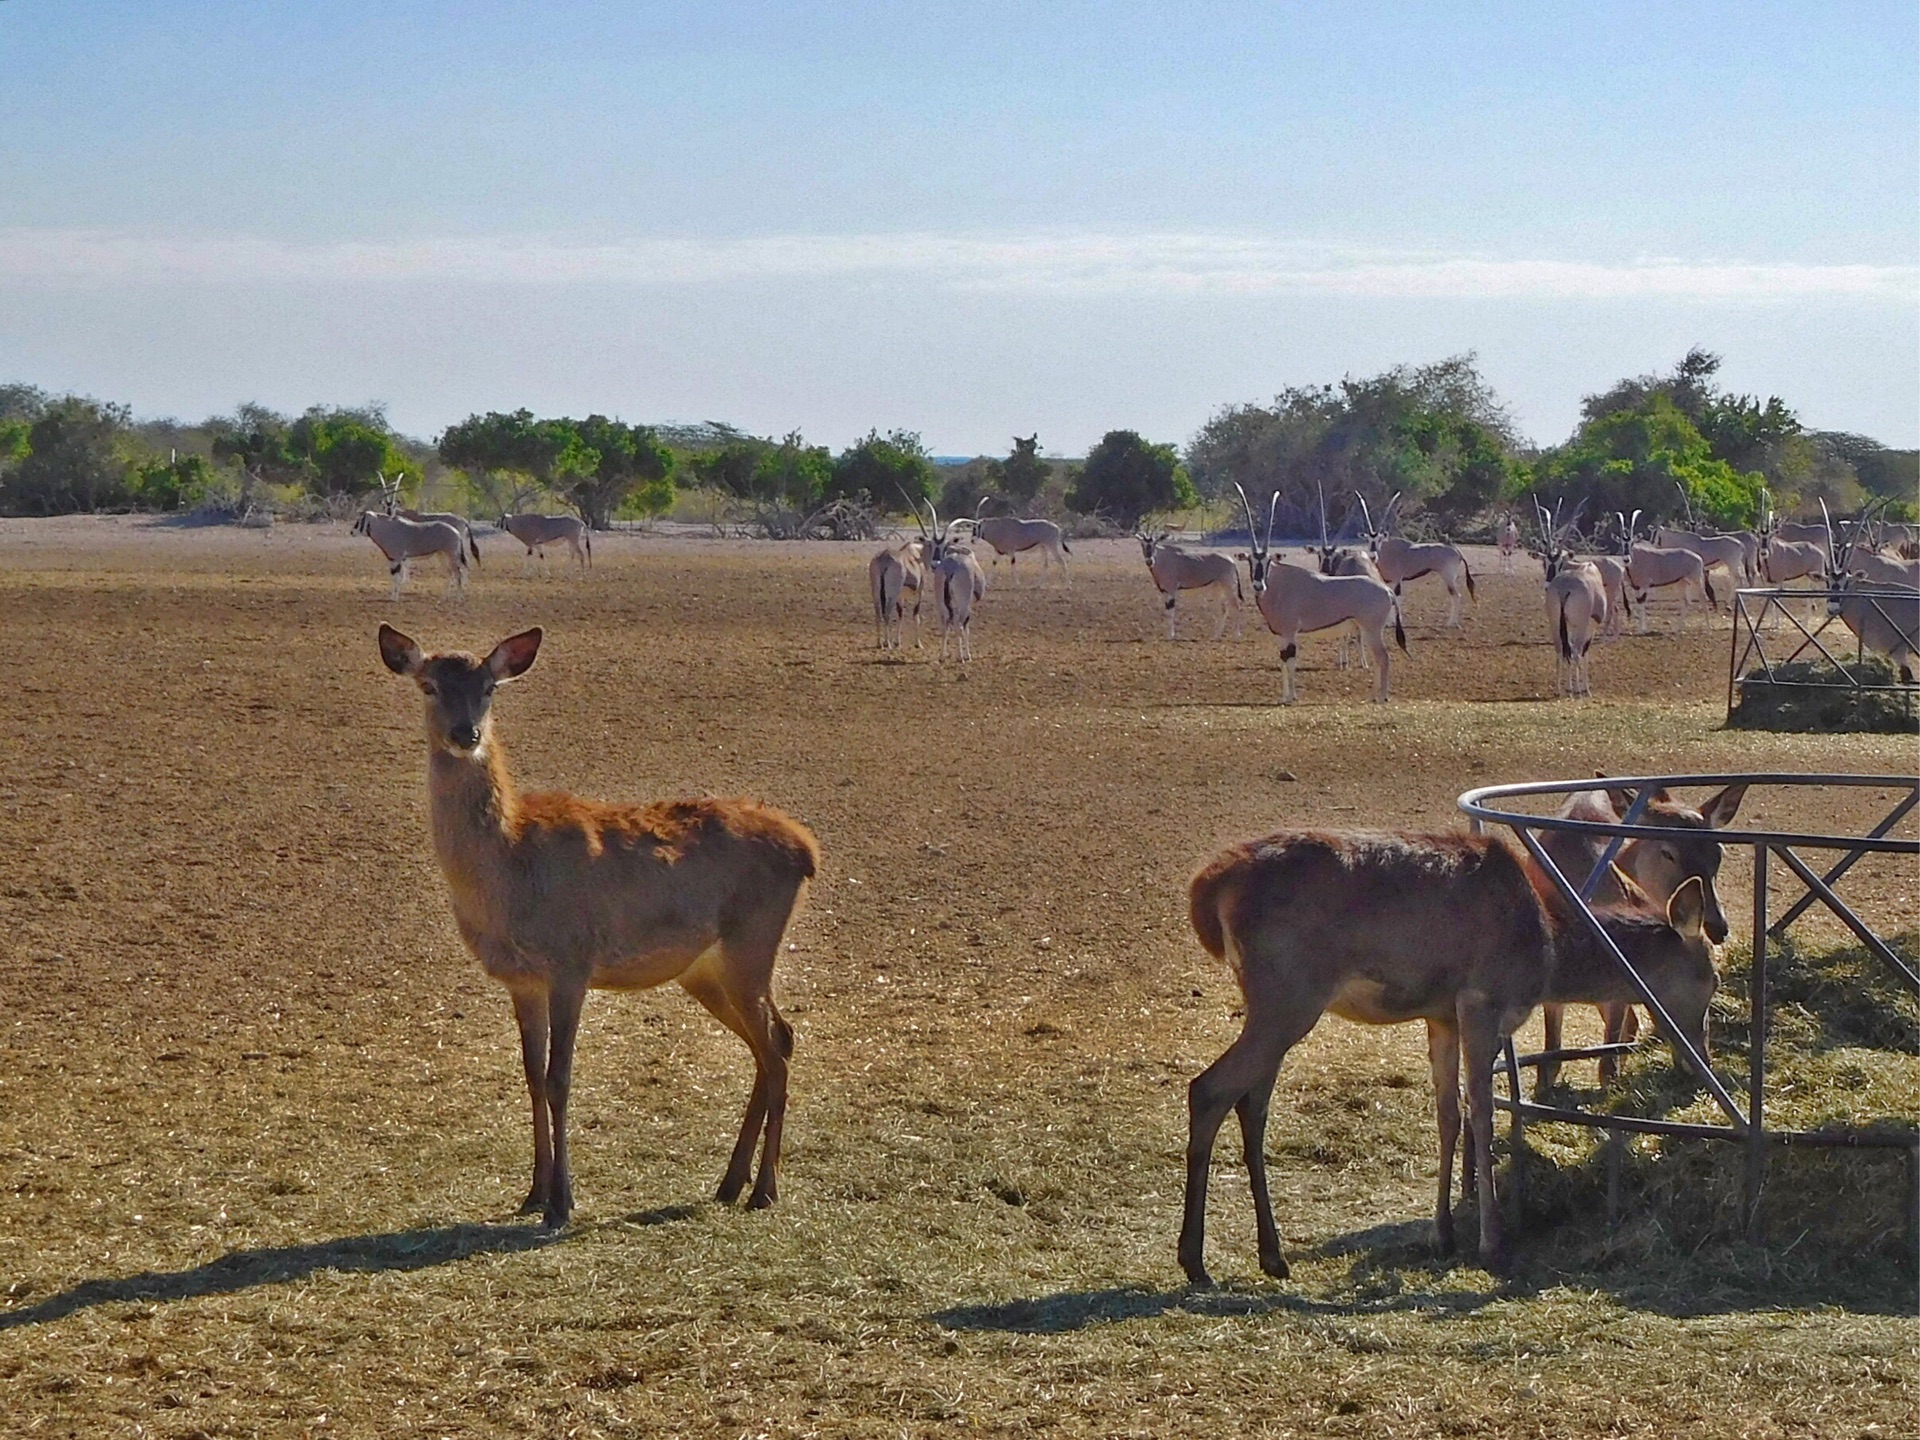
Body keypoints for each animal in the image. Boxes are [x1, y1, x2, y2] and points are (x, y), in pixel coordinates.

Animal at [380, 622, 817, 1228]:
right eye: (428, 685)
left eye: (489, 687)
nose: (466, 734)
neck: (507, 872)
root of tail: (807, 849)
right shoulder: (521, 978)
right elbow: (531, 1074)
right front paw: (533, 1191)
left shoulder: (571, 961)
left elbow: (560, 1078)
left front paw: (562, 1203)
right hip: (705, 970)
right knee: (776, 1039)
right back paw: (730, 1182)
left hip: (751, 945)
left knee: (775, 1046)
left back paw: (765, 1190)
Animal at [1175, 829, 1720, 1282]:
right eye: (1711, 981)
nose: (1701, 1059)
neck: (1546, 953)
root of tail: (1207, 889)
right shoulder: (1481, 999)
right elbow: (1481, 1110)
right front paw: (1491, 1242)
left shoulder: (1441, 1016)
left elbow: (1447, 1114)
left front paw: (1443, 1234)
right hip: (1289, 993)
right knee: (1209, 1088)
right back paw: (1195, 1261)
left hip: (1274, 1004)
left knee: (1252, 1103)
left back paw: (1272, 1255)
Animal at [1236, 487, 1405, 706]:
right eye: (1250, 561)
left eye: (1267, 561)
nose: (1258, 585)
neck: (1278, 584)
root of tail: (1387, 590)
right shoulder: (1281, 635)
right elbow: (1283, 662)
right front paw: (1284, 696)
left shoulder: (1290, 633)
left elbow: (1290, 662)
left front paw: (1291, 698)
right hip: (1369, 631)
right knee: (1379, 659)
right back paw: (1372, 696)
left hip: (1372, 630)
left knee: (1383, 658)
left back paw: (1381, 697)